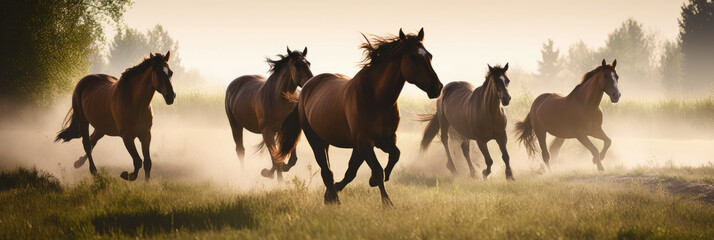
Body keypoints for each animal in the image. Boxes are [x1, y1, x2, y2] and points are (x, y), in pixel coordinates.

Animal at [55, 51, 175, 181]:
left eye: (170, 72)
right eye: (158, 73)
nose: (171, 96)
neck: (135, 103)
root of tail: (83, 81)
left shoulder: (146, 135)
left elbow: (147, 162)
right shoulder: (127, 137)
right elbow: (137, 161)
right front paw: (126, 175)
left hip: (101, 128)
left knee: (92, 141)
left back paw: (78, 163)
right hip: (83, 121)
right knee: (86, 143)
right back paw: (94, 171)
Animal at [224, 47, 310, 181]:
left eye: (309, 63)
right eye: (296, 64)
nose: (310, 80)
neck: (278, 99)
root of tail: (234, 84)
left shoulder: (289, 131)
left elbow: (289, 159)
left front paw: (274, 171)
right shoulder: (268, 132)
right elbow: (276, 159)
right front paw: (275, 178)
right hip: (235, 125)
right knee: (240, 150)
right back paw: (243, 176)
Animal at [272, 28, 440, 204]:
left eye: (430, 56)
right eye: (413, 57)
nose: (437, 87)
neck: (377, 99)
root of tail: (306, 86)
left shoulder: (384, 139)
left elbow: (393, 156)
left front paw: (373, 181)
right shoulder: (364, 142)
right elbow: (377, 170)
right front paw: (387, 202)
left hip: (331, 141)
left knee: (340, 170)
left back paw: (331, 195)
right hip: (315, 140)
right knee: (326, 170)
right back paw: (335, 201)